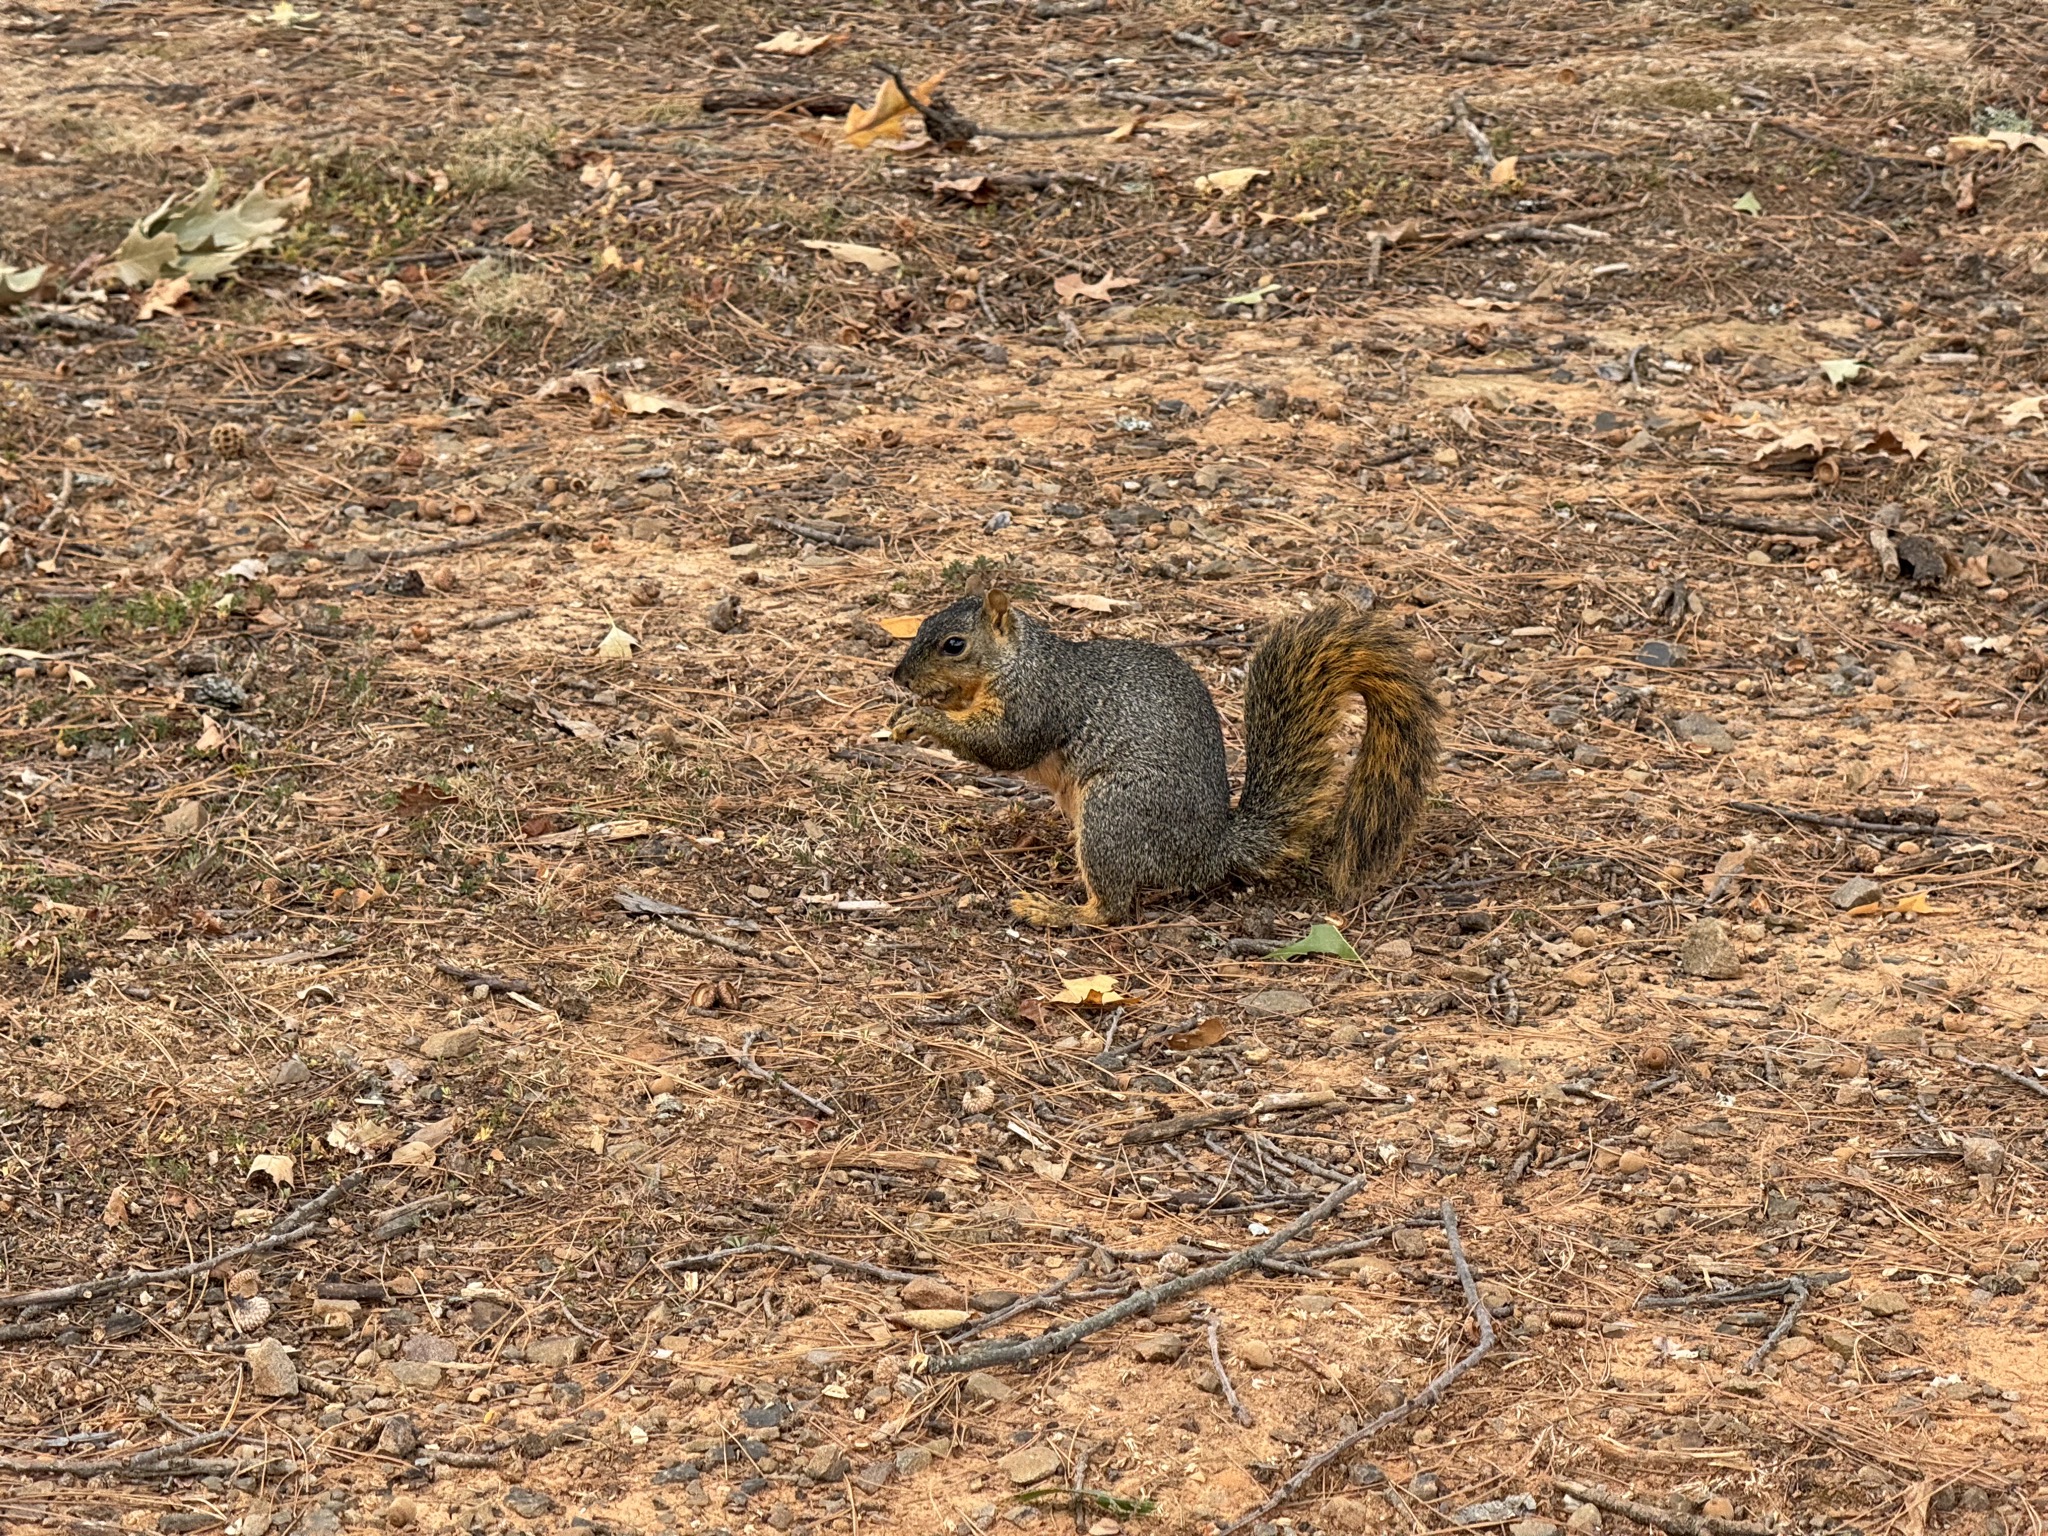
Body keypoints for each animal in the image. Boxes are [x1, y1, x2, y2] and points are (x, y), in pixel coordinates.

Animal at [887, 589, 1442, 928]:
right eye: (921, 625)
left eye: (954, 644)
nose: (899, 677)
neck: (1017, 661)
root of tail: (1210, 851)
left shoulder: (1039, 701)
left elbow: (1004, 745)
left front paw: (925, 721)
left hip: (1115, 811)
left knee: (1113, 907)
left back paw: (1054, 911)